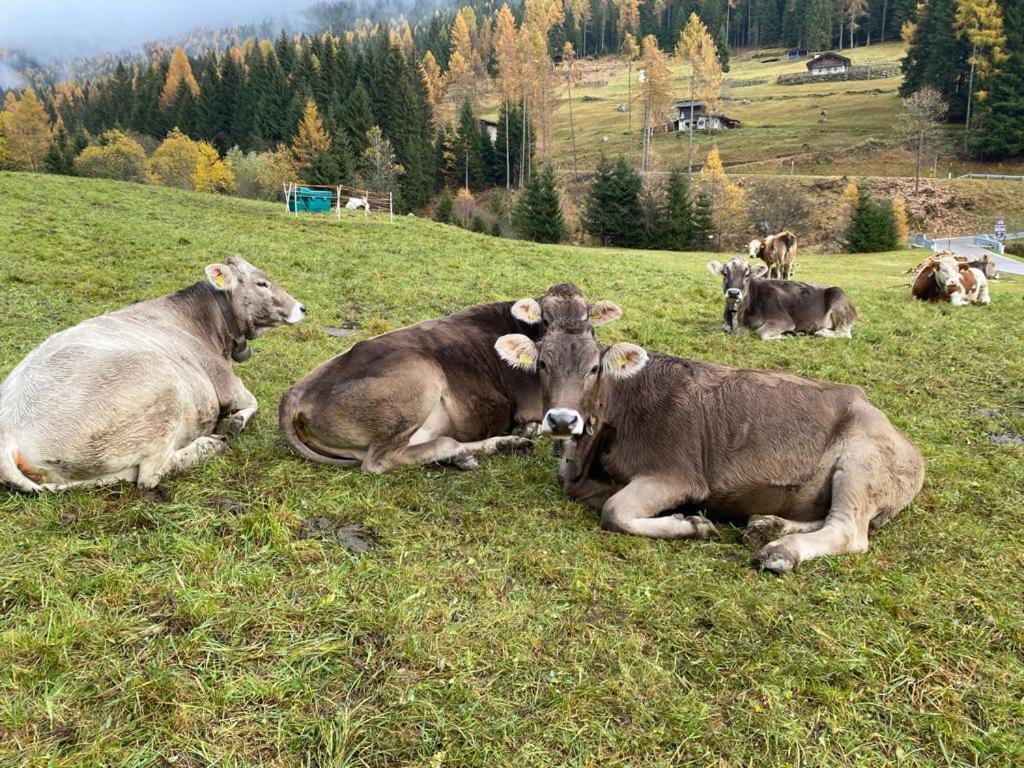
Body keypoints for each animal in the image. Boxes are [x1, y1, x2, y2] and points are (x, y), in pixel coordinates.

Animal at [0, 253, 305, 493]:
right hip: (166, 396)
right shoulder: (226, 383)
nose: (302, 307)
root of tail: (8, 433)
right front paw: (234, 423)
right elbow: (253, 402)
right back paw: (211, 444)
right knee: (150, 475)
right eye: (261, 283)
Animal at [276, 284, 622, 473]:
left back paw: (496, 446)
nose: (573, 336)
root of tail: (295, 391)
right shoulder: (532, 404)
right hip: (422, 374)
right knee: (381, 459)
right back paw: (464, 451)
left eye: (587, 318)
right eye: (546, 320)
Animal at [491, 321, 925, 573]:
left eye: (595, 368)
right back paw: (767, 526)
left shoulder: (677, 475)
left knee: (849, 531)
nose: (563, 420)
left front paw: (695, 524)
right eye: (542, 364)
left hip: (862, 464)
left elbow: (614, 512)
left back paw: (781, 551)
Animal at [704, 257, 856, 337]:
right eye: (724, 273)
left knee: (841, 333)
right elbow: (725, 327)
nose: (733, 293)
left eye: (747, 275)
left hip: (839, 302)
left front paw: (786, 336)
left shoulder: (783, 320)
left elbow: (760, 332)